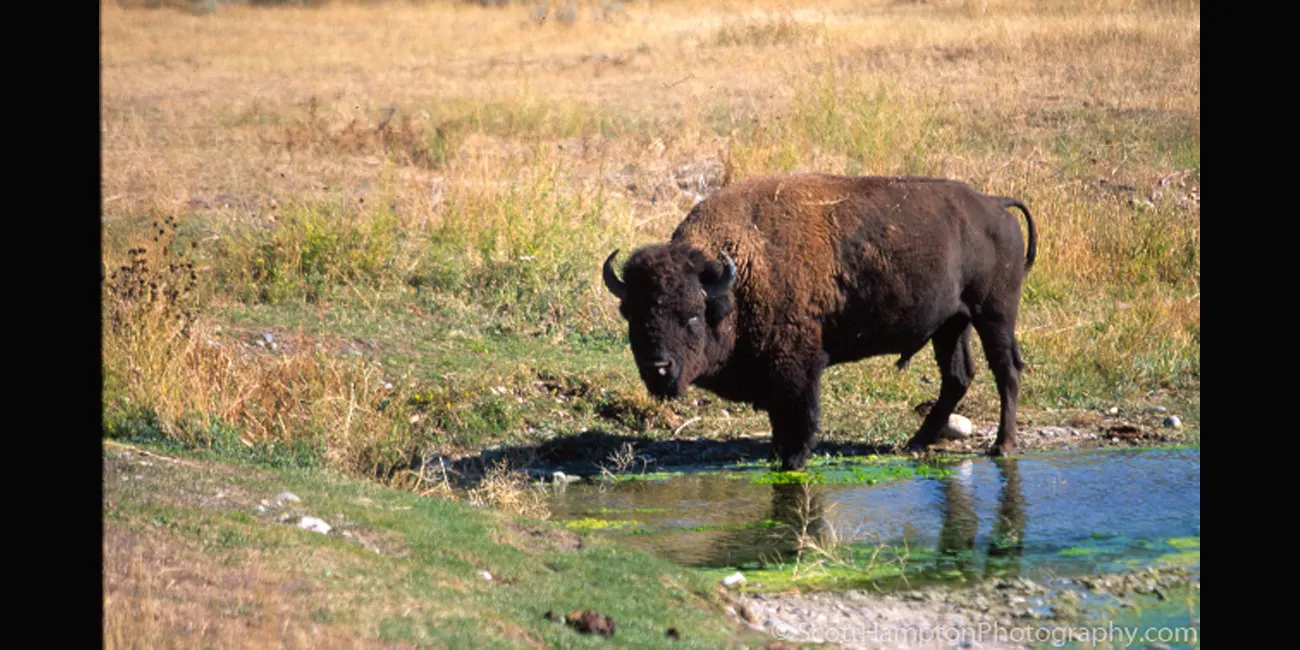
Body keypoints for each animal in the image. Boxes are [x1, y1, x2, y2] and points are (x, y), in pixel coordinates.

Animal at [602, 172, 1037, 470]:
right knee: (957, 377)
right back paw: (917, 441)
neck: (738, 275)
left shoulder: (798, 365)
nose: (658, 367)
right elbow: (779, 416)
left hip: (994, 314)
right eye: (633, 314)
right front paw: (777, 451)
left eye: (693, 313)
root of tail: (996, 205)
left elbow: (800, 415)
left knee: (1006, 371)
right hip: (952, 324)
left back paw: (1002, 445)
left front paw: (793, 459)